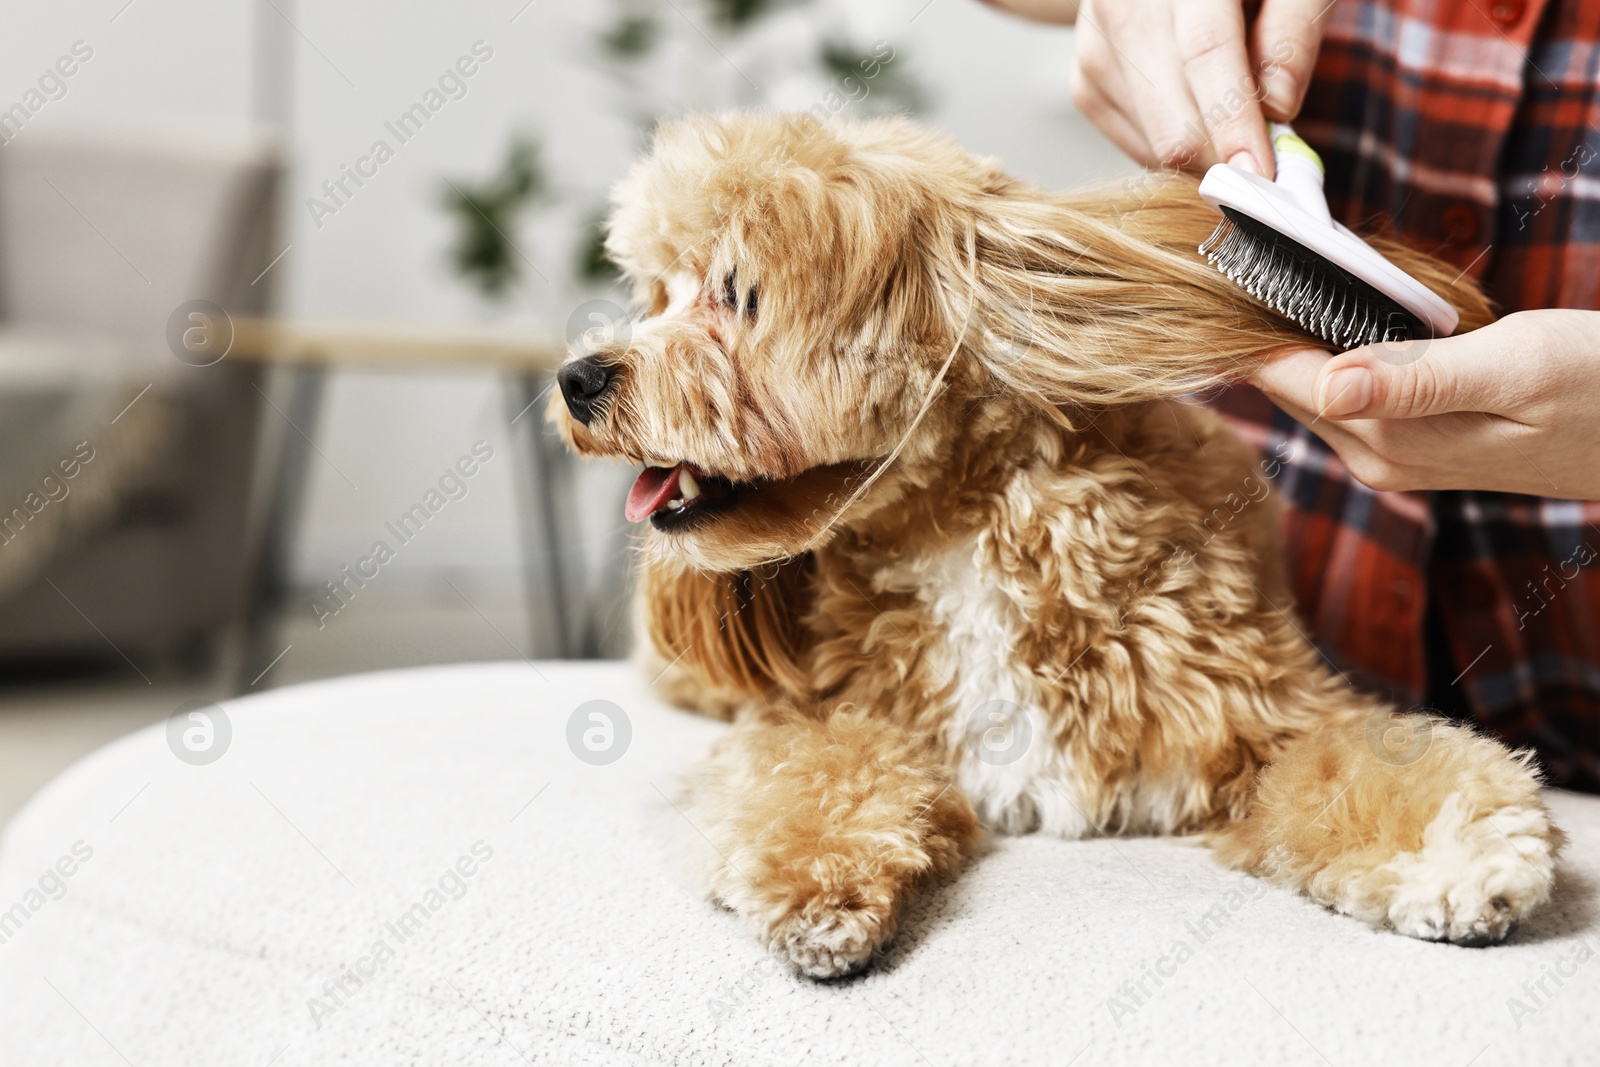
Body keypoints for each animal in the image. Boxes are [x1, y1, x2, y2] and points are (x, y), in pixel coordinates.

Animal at [553, 115, 1561, 979]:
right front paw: (819, 887)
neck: (957, 537)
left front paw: (1458, 851)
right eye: (658, 293)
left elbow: (1360, 761)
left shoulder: (1262, 715)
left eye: (738, 293)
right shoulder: (821, 715)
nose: (576, 378)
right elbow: (821, 769)